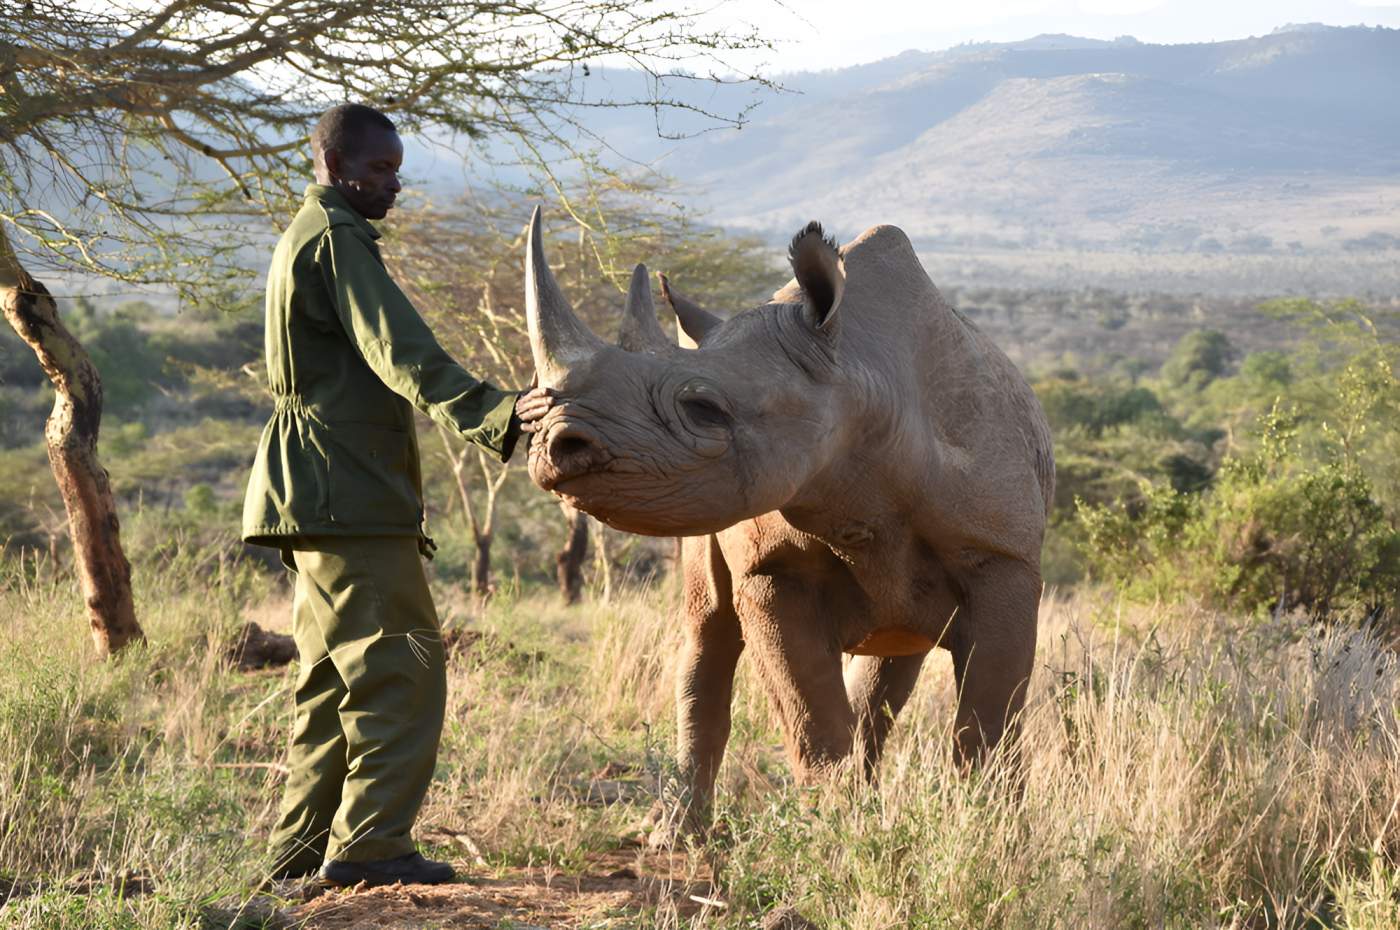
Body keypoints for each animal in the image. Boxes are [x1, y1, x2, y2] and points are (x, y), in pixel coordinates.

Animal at [521, 207, 1054, 824]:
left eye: (703, 408)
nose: (550, 443)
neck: (862, 377)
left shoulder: (1003, 558)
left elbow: (991, 718)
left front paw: (991, 825)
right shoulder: (772, 566)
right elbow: (809, 713)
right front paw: (841, 827)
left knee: (891, 662)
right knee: (709, 630)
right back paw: (676, 833)